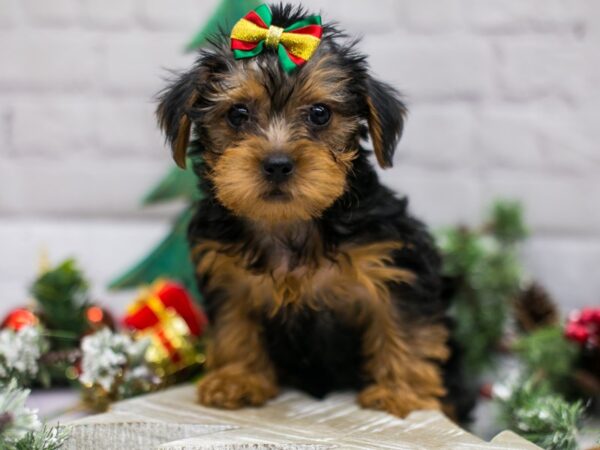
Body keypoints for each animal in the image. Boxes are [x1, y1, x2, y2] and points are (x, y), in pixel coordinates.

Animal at [156, 3, 474, 420]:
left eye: (320, 114)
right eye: (237, 114)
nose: (277, 164)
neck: (289, 224)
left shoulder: (395, 264)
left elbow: (404, 327)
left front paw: (399, 391)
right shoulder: (228, 277)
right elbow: (234, 327)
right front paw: (237, 379)